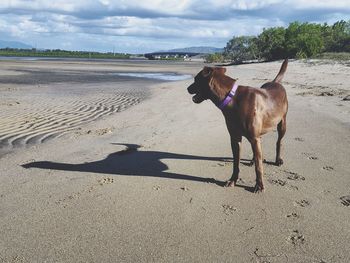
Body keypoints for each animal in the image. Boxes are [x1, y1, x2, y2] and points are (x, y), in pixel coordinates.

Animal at [187, 59, 288, 192]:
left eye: (195, 79)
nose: (187, 88)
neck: (231, 98)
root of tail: (275, 82)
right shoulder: (235, 138)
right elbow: (236, 162)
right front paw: (233, 180)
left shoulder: (253, 137)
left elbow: (259, 166)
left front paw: (259, 185)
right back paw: (252, 160)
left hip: (282, 122)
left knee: (279, 141)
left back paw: (278, 160)